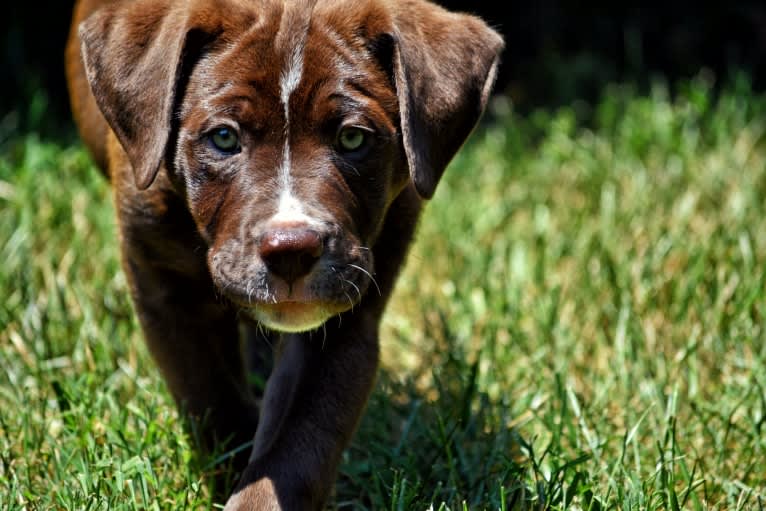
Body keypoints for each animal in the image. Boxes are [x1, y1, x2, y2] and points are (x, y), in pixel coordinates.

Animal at [64, 0, 504, 508]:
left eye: (353, 138)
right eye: (223, 138)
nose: (291, 249)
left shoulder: (347, 309)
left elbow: (301, 440)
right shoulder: (165, 287)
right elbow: (213, 398)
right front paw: (230, 468)